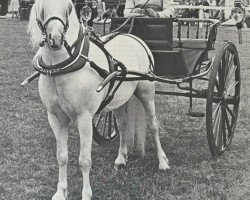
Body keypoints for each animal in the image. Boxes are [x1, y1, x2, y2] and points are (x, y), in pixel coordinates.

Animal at [28, 0, 170, 198]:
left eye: (68, 8)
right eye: (41, 8)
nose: (55, 38)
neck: (64, 67)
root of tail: (134, 37)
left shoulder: (85, 118)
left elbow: (84, 160)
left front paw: (86, 194)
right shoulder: (55, 118)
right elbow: (62, 156)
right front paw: (61, 192)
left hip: (146, 93)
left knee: (154, 125)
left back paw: (162, 162)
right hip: (118, 99)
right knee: (123, 125)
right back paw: (121, 157)